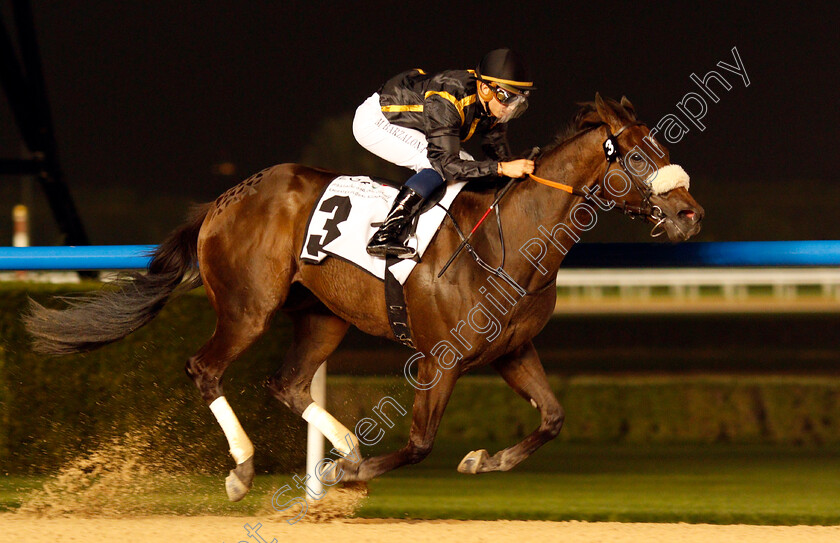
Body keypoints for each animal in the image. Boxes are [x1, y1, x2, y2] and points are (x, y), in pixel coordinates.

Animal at [24, 93, 704, 502]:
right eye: (637, 156)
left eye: (666, 149)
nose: (689, 214)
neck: (510, 243)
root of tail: (224, 198)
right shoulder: (440, 360)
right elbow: (421, 443)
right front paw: (346, 472)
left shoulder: (513, 351)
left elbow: (554, 417)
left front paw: (483, 460)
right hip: (249, 308)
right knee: (205, 368)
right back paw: (245, 468)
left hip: (324, 316)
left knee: (288, 383)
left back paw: (343, 442)